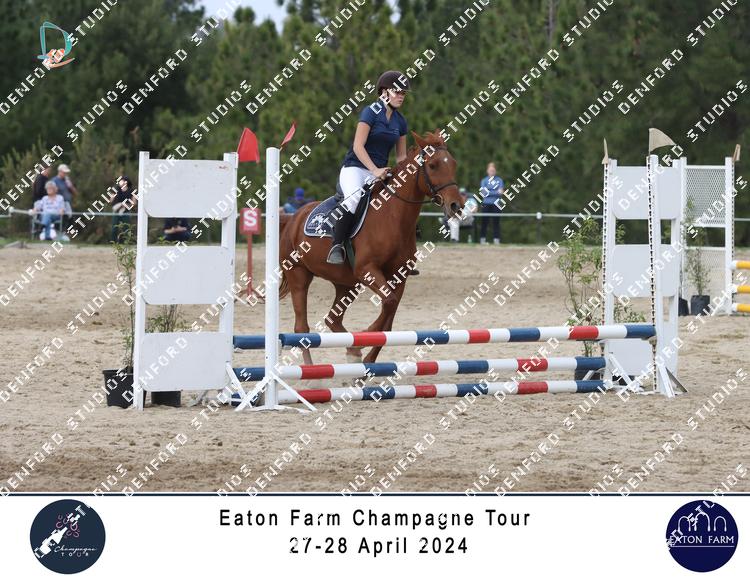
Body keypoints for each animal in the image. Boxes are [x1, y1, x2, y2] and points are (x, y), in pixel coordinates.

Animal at [277, 130, 464, 365]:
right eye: (432, 165)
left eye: (453, 164)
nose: (456, 205)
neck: (393, 216)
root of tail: (293, 218)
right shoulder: (368, 270)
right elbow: (389, 304)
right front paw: (366, 336)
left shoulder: (398, 276)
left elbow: (389, 318)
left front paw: (366, 355)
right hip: (299, 275)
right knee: (302, 327)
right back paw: (314, 369)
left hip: (346, 283)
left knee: (333, 319)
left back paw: (353, 351)